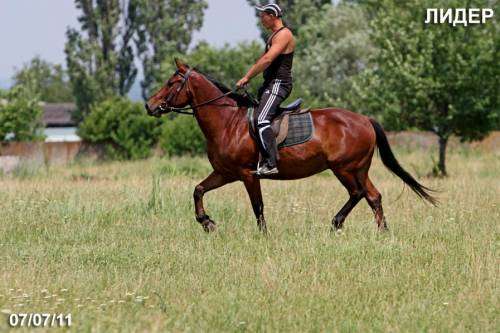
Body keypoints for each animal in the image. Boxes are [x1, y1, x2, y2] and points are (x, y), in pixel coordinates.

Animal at [144, 58, 434, 232]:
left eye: (171, 83)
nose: (149, 105)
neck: (228, 122)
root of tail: (364, 119)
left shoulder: (248, 175)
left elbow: (258, 206)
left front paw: (263, 236)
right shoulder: (225, 173)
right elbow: (198, 190)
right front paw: (207, 223)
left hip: (346, 168)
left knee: (360, 193)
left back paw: (341, 224)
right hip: (357, 169)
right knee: (371, 195)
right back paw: (375, 231)